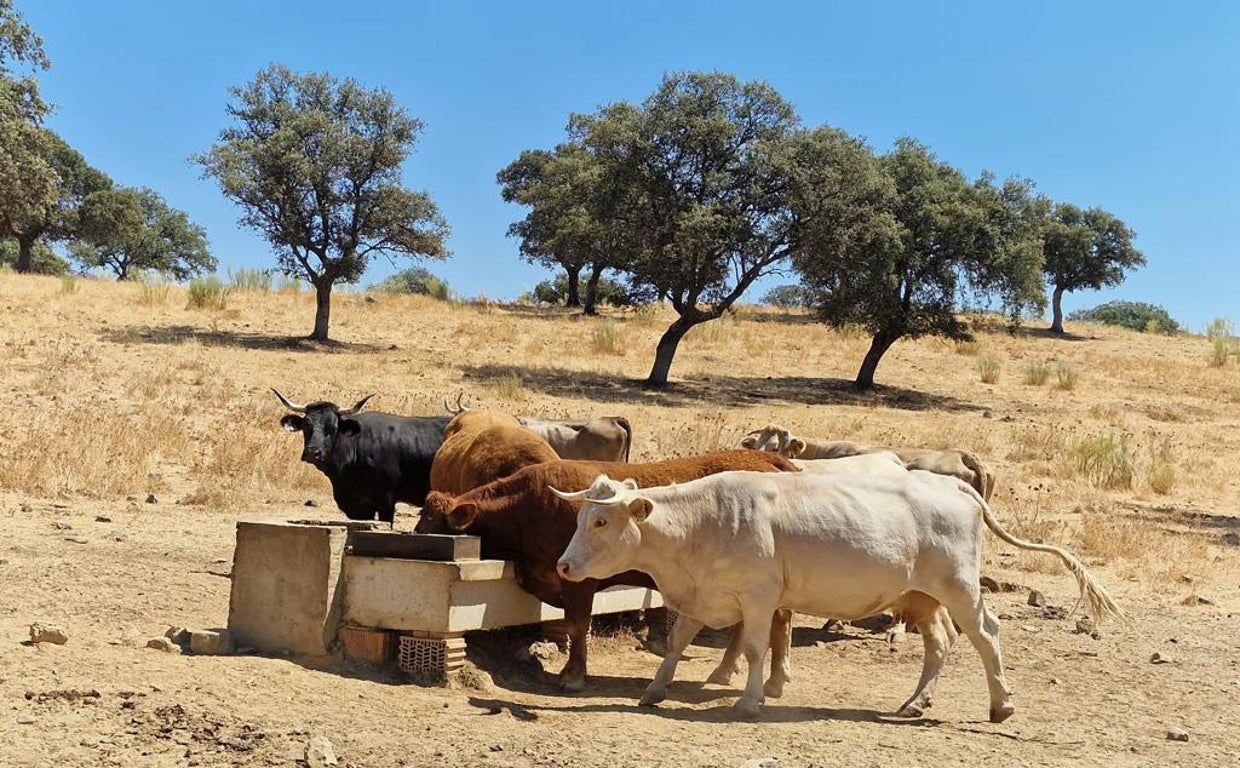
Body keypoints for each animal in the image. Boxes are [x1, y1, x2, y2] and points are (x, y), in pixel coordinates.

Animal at [416, 451, 798, 689]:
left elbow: (577, 624)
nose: (415, 538)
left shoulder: (578, 580)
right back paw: (730, 672)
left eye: (436, 524)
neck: (529, 507)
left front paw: (573, 674)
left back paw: (770, 677)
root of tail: (769, 458)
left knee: (777, 620)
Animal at [553, 468, 1125, 719]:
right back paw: (914, 702)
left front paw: (751, 699)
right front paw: (653, 691)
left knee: (987, 634)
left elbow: (756, 648)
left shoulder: (759, 598)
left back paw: (1002, 704)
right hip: (922, 597)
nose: (563, 564)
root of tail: (954, 483)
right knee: (941, 644)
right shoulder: (700, 597)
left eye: (601, 521)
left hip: (961, 587)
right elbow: (675, 644)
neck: (703, 522)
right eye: (580, 517)